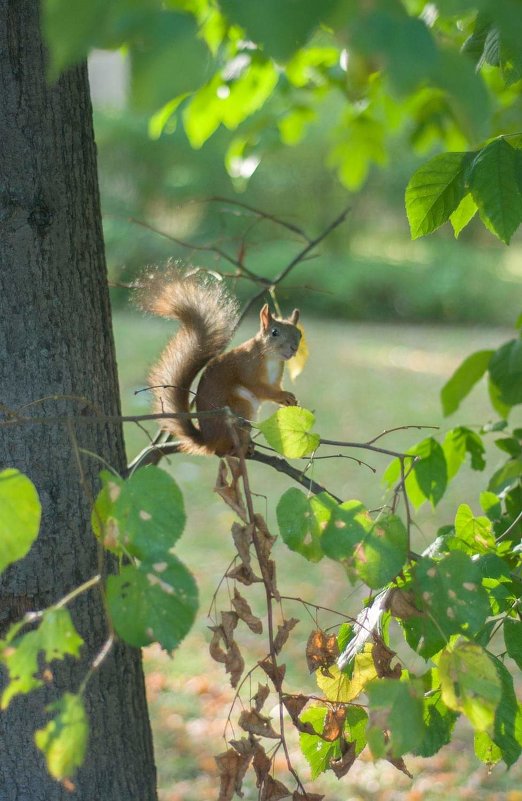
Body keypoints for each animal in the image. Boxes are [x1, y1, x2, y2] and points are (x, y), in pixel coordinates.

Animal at [136, 268, 300, 456]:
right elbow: (259, 388)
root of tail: (209, 442)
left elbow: (274, 387)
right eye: (274, 332)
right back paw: (241, 447)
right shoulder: (247, 368)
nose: (294, 348)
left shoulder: (276, 378)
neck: (272, 359)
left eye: (299, 334)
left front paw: (288, 400)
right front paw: (282, 395)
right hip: (239, 407)